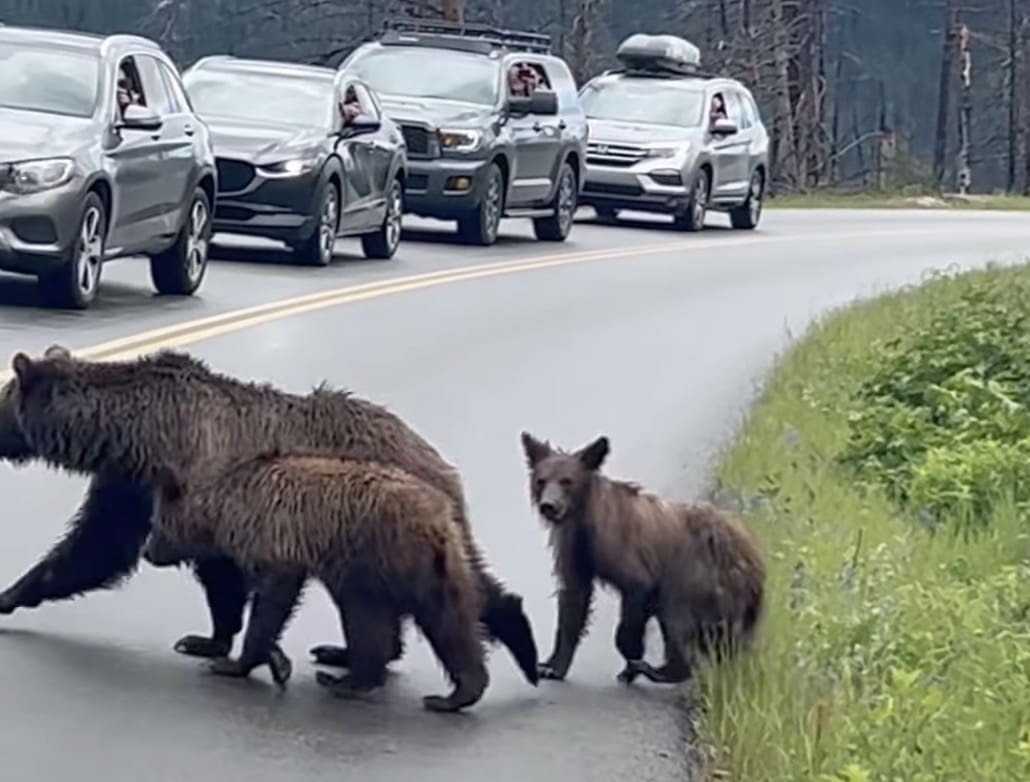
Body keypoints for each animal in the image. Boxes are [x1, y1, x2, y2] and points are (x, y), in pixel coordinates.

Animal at [1, 346, 538, 687]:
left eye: (1, 396)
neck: (140, 433)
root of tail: (439, 459)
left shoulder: (201, 482)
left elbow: (213, 567)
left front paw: (223, 643)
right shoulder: (131, 485)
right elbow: (97, 544)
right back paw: (349, 652)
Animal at [140, 453, 490, 713]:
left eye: (155, 523)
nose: (147, 552)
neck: (224, 512)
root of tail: (436, 522)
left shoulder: (274, 539)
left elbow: (272, 600)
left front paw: (234, 663)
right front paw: (277, 660)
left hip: (373, 557)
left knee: (367, 614)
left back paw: (347, 680)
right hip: (440, 569)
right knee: (451, 624)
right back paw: (458, 693)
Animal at [519, 431, 765, 685]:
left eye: (567, 481)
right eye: (541, 480)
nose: (549, 505)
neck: (584, 516)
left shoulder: (621, 547)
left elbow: (636, 590)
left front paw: (632, 657)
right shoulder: (574, 547)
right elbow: (573, 599)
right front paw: (551, 666)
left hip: (701, 577)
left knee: (677, 616)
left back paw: (661, 669)